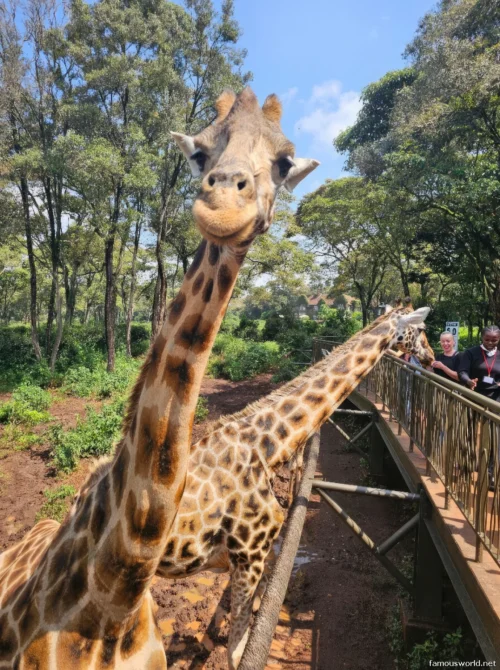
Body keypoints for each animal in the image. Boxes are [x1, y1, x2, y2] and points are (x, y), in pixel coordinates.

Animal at [154, 305, 435, 669]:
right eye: (422, 329)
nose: (431, 356)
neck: (265, 446)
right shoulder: (248, 556)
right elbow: (238, 651)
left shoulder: (253, 558)